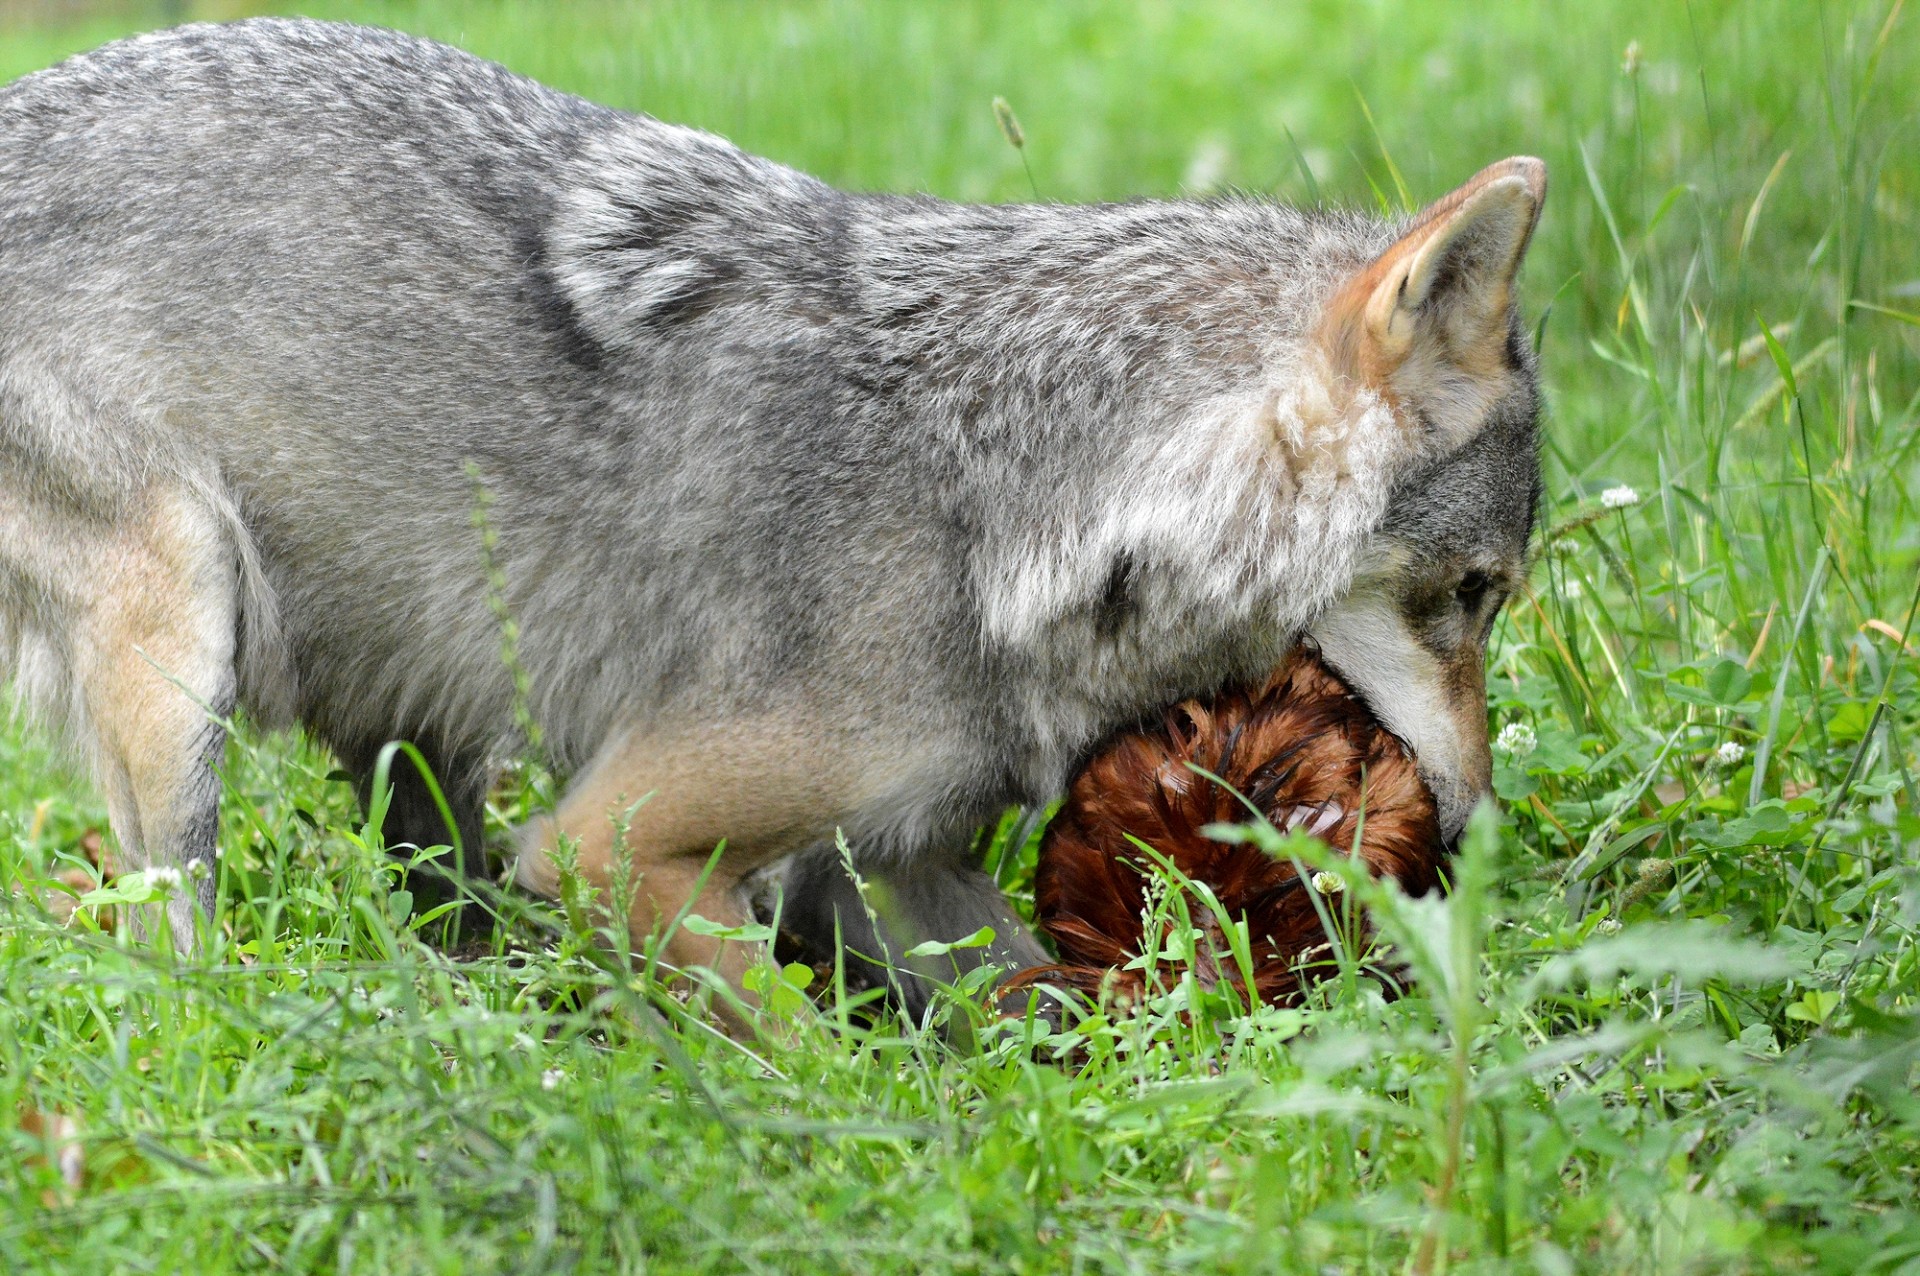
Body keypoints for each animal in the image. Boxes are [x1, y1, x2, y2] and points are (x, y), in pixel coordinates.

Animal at [0, 17, 1536, 1013]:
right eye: (1472, 596)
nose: (1470, 837)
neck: (1008, 499)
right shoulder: (611, 845)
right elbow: (812, 1052)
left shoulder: (902, 866)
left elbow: (1038, 1012)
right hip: (186, 651)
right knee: (173, 960)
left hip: (414, 736)